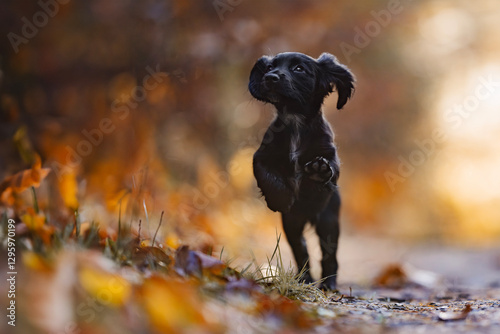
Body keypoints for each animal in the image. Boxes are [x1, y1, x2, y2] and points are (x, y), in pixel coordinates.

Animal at [248, 52, 354, 290]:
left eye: (299, 69)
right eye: (270, 66)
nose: (270, 77)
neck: (295, 121)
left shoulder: (330, 154)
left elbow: (331, 168)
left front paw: (318, 171)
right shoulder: (262, 155)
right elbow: (265, 174)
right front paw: (281, 198)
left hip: (328, 221)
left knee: (329, 254)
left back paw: (328, 283)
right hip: (292, 225)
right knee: (301, 250)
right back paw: (305, 279)